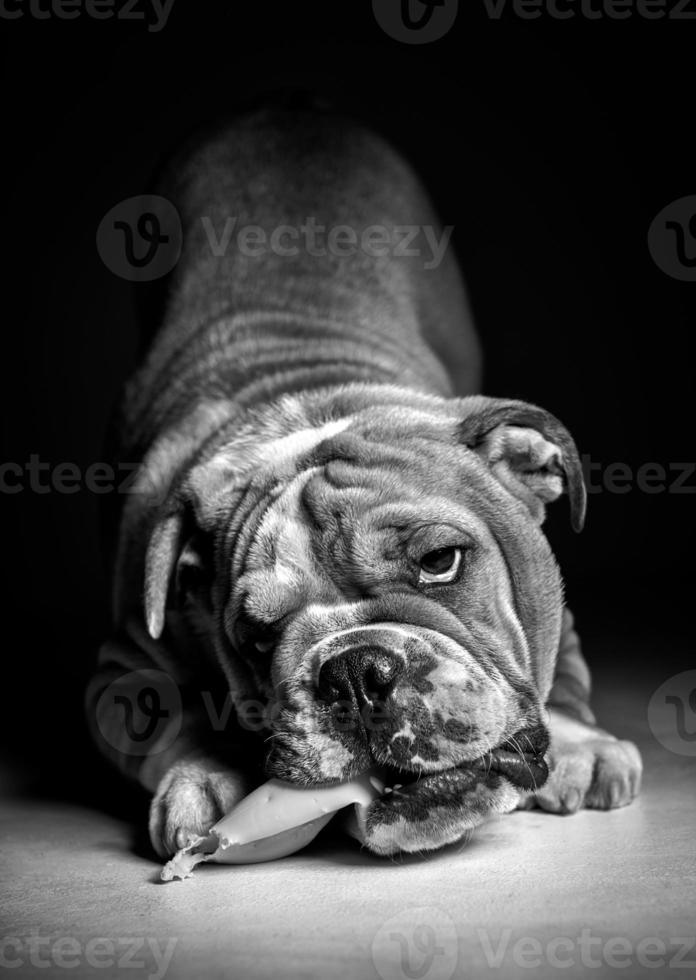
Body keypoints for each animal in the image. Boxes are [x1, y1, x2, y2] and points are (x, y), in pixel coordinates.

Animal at [87, 101, 640, 856]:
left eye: (441, 561)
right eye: (254, 639)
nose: (353, 670)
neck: (312, 394)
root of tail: (290, 107)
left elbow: (565, 665)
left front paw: (586, 743)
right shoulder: (124, 669)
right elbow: (175, 718)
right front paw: (205, 780)